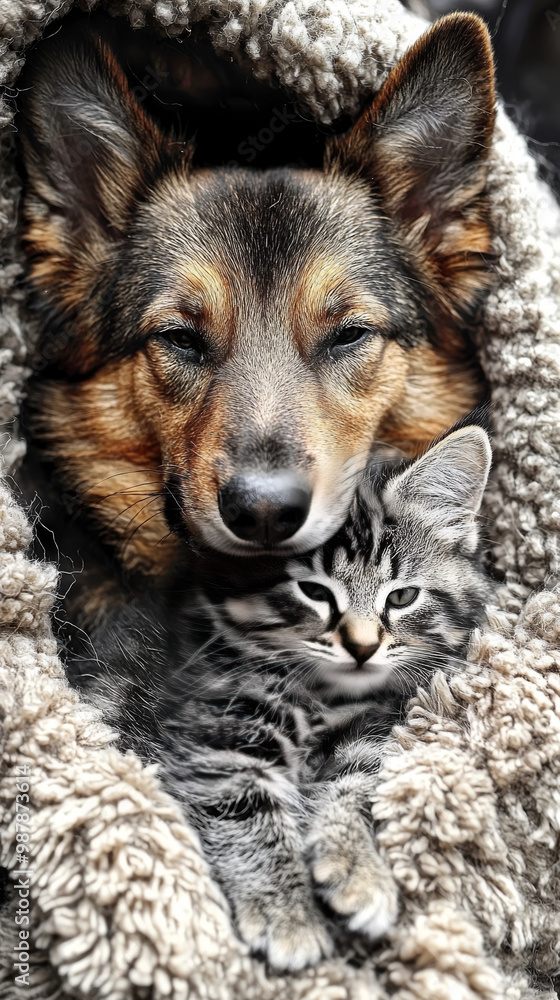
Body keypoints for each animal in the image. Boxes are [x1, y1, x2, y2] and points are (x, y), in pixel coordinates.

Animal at [81, 422, 492, 968]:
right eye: (314, 592)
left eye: (402, 597)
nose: (363, 647)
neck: (323, 695)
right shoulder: (217, 735)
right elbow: (248, 810)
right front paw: (289, 916)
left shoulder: (375, 727)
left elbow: (355, 786)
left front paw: (358, 867)